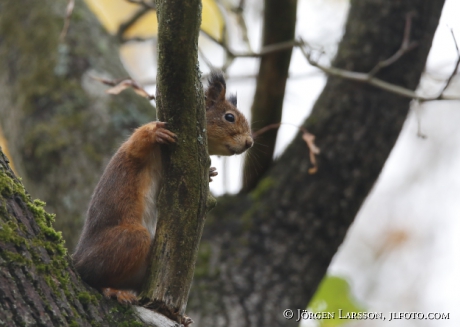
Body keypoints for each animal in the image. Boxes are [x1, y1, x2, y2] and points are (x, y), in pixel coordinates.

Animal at [72, 72, 253, 304]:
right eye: (229, 117)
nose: (249, 143)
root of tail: (78, 257)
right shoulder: (137, 149)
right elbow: (138, 142)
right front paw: (156, 133)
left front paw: (211, 173)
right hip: (128, 239)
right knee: (93, 275)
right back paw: (112, 289)